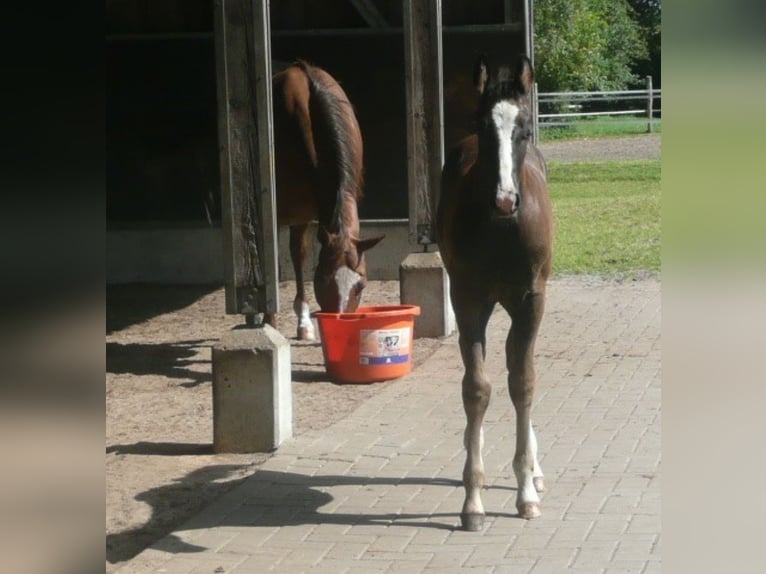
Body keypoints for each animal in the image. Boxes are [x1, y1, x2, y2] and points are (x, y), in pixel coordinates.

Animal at [274, 60, 388, 340]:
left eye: (361, 286)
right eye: (323, 279)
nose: (341, 321)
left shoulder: (304, 214)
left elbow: (299, 253)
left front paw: (303, 323)